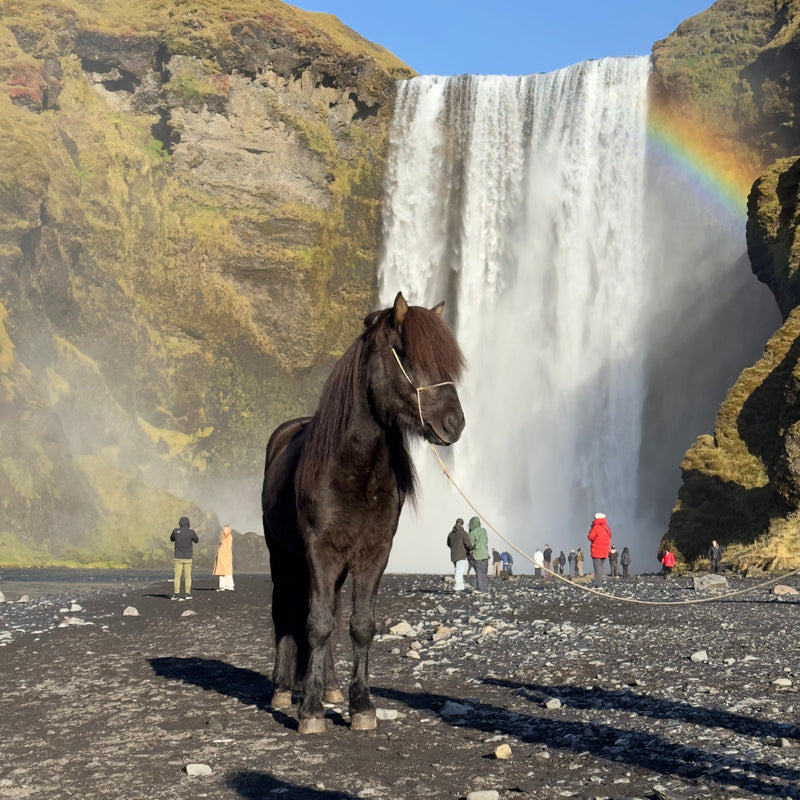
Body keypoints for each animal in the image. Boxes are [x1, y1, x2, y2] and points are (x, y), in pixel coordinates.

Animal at [260, 290, 466, 736]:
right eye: (404, 353)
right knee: (286, 611)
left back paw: (330, 688)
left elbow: (358, 626)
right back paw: (284, 689)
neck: (355, 470)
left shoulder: (373, 553)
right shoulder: (320, 552)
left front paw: (360, 705)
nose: (454, 423)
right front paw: (310, 712)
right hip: (282, 556)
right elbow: (317, 625)